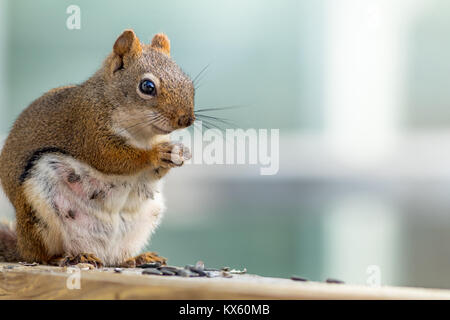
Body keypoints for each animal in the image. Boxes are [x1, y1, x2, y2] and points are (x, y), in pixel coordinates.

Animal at [0, 29, 193, 268]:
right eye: (147, 87)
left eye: (187, 80)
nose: (186, 119)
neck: (143, 134)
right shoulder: (88, 128)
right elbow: (110, 158)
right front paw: (155, 154)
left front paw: (178, 154)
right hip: (38, 212)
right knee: (40, 255)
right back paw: (67, 257)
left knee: (116, 257)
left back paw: (136, 258)